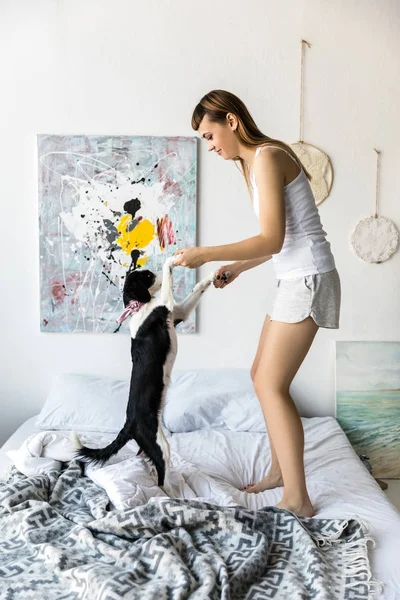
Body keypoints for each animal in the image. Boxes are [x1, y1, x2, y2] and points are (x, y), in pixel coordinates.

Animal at [72, 258, 216, 496]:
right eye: (147, 275)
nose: (153, 270)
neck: (139, 307)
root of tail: (129, 424)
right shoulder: (166, 305)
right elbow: (168, 280)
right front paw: (172, 260)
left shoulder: (178, 312)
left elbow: (196, 290)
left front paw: (212, 276)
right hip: (159, 445)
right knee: (162, 480)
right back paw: (176, 498)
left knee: (148, 464)